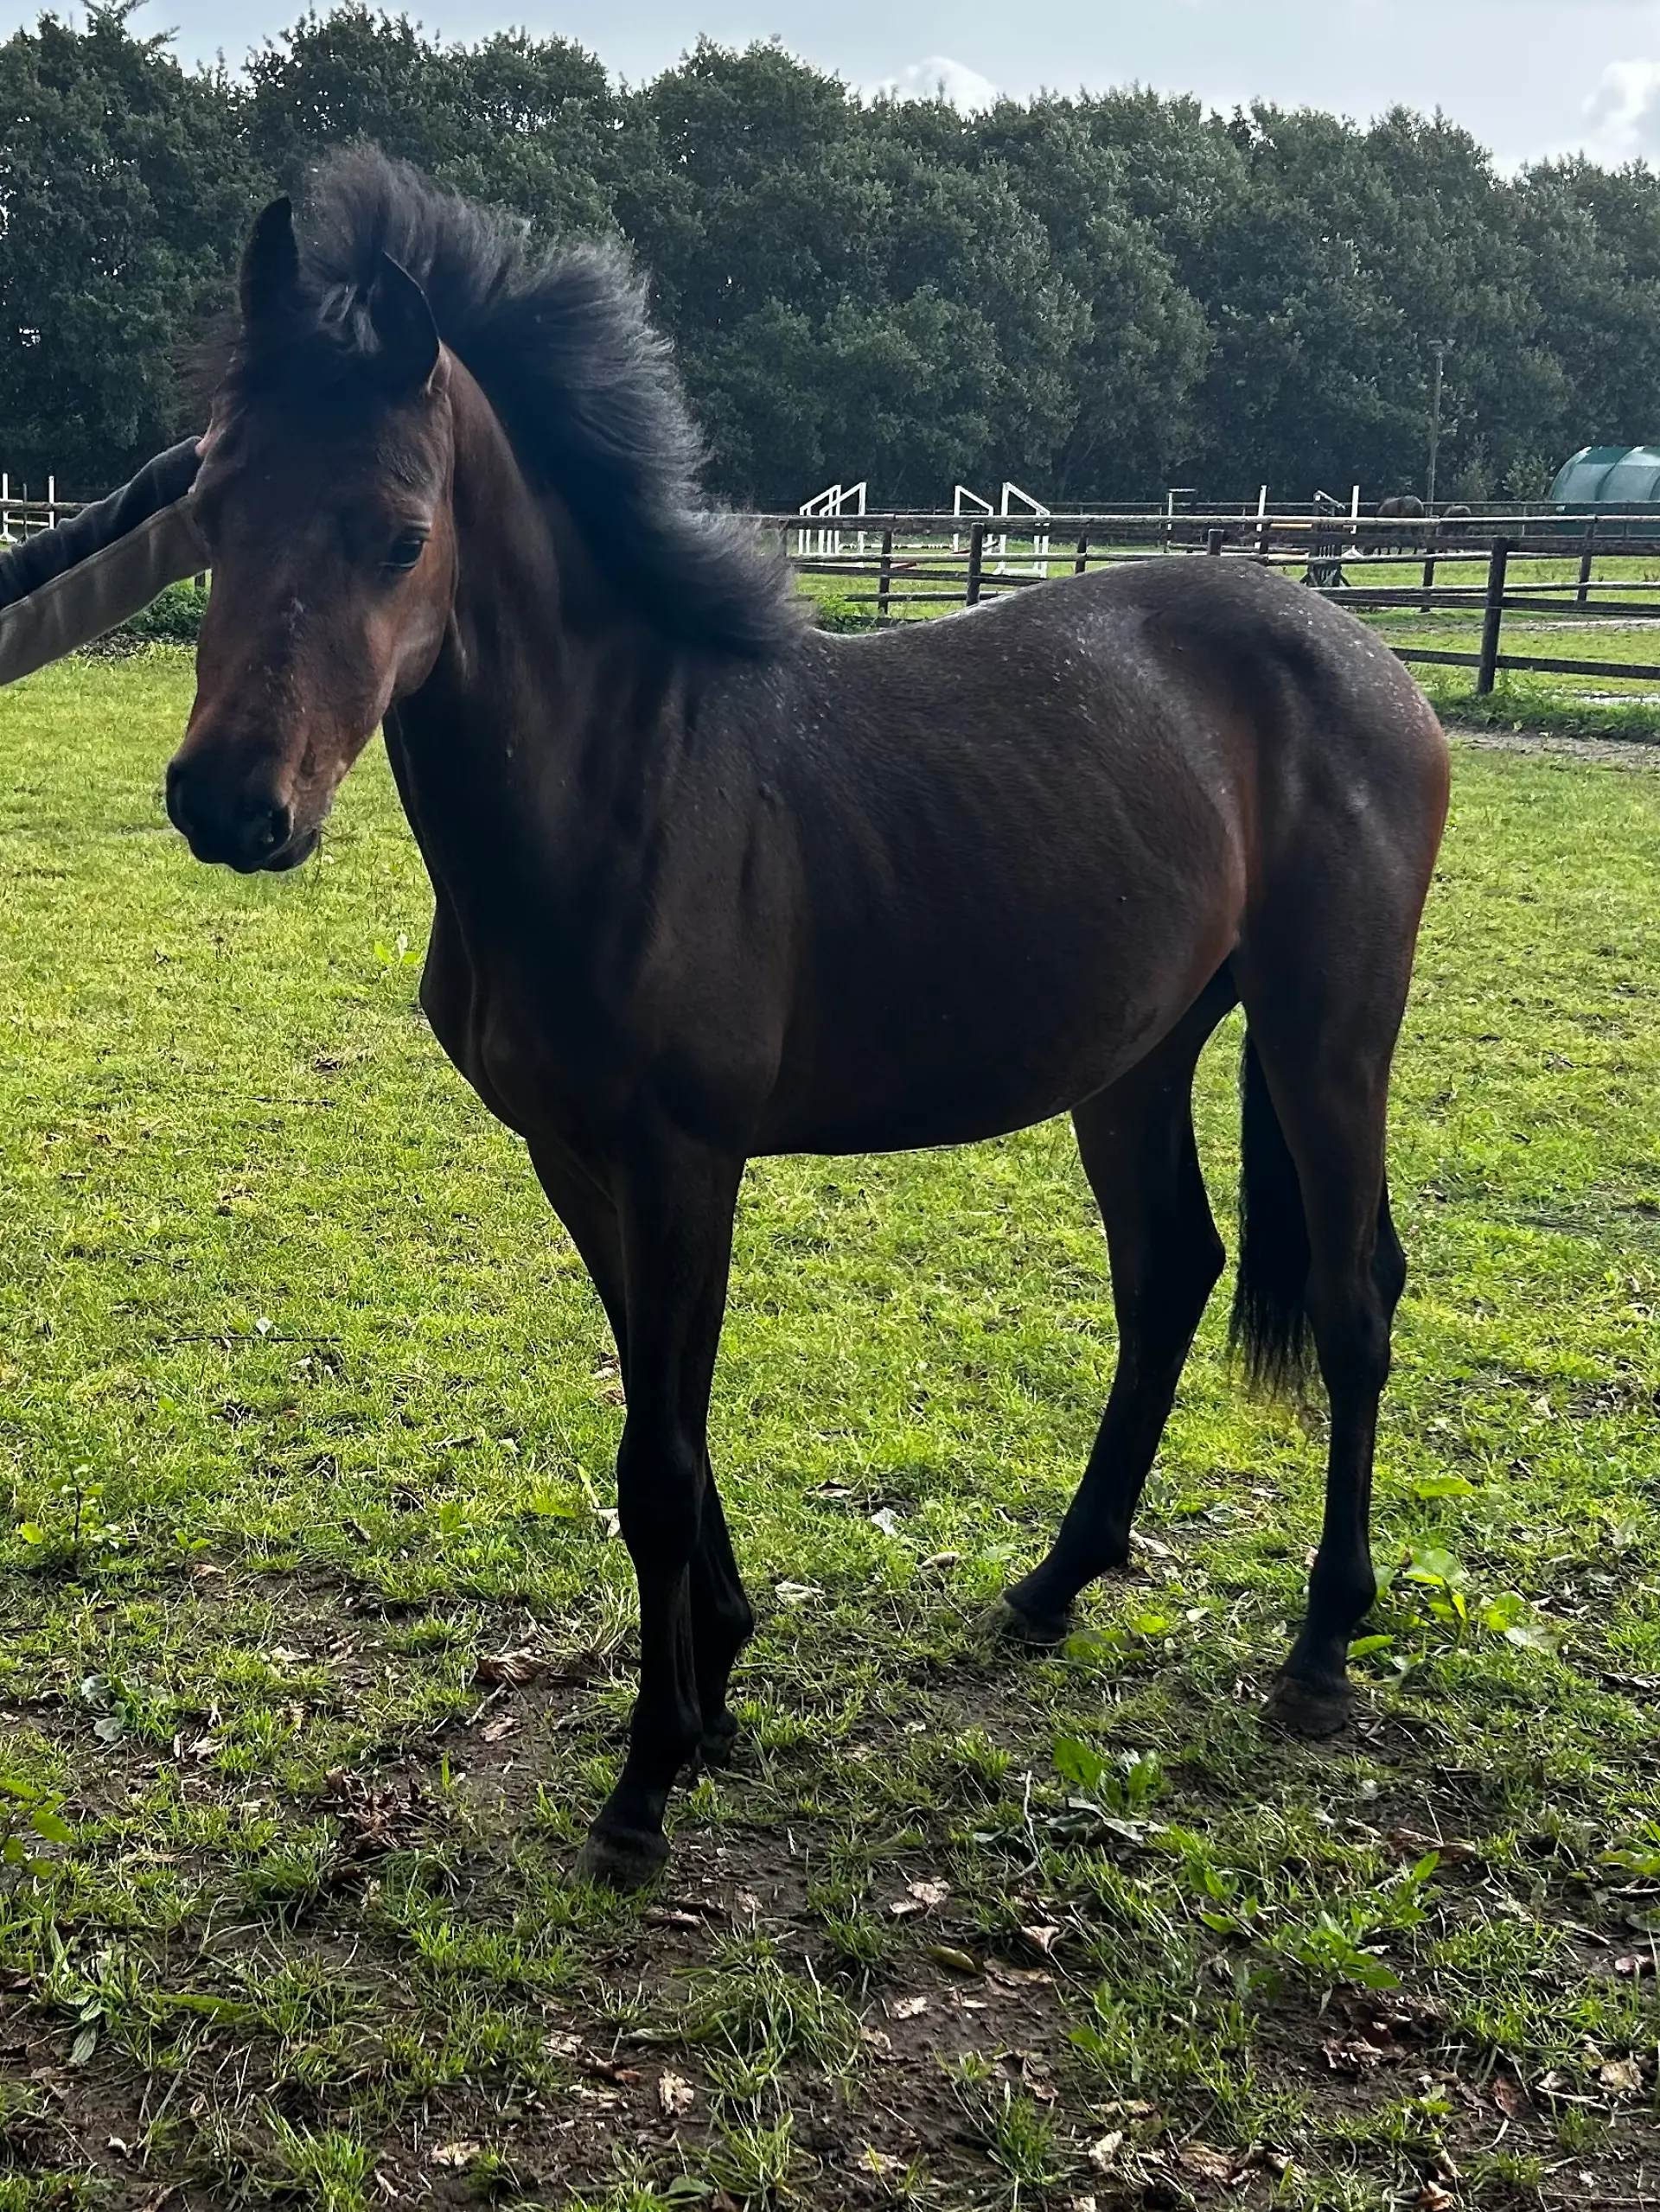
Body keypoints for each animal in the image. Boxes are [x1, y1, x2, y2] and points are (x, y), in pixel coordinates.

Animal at [165, 154, 1451, 1890]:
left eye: (399, 534)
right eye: (212, 505)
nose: (232, 804)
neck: (621, 786)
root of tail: (1373, 658)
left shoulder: (684, 1157)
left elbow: (658, 1455)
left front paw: (646, 1779)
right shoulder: (579, 1157)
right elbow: (667, 1419)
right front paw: (714, 1688)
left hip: (1329, 1031)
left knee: (1355, 1297)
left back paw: (1319, 1648)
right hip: (1134, 1059)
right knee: (1172, 1271)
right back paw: (1051, 1585)